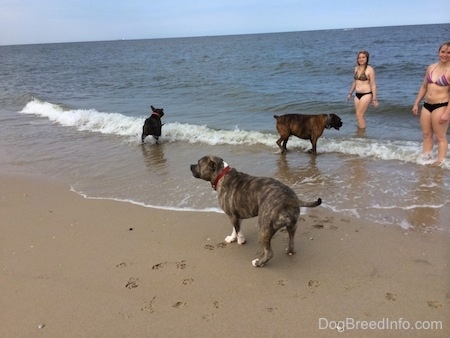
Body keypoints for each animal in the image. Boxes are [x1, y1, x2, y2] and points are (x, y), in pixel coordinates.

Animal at [188, 154, 322, 268]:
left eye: (199, 163)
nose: (190, 166)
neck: (221, 174)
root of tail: (292, 200)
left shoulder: (232, 215)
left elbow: (238, 230)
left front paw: (240, 240)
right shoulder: (236, 215)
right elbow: (235, 228)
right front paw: (232, 238)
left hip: (264, 228)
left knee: (269, 253)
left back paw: (258, 263)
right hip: (292, 227)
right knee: (291, 241)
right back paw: (289, 251)